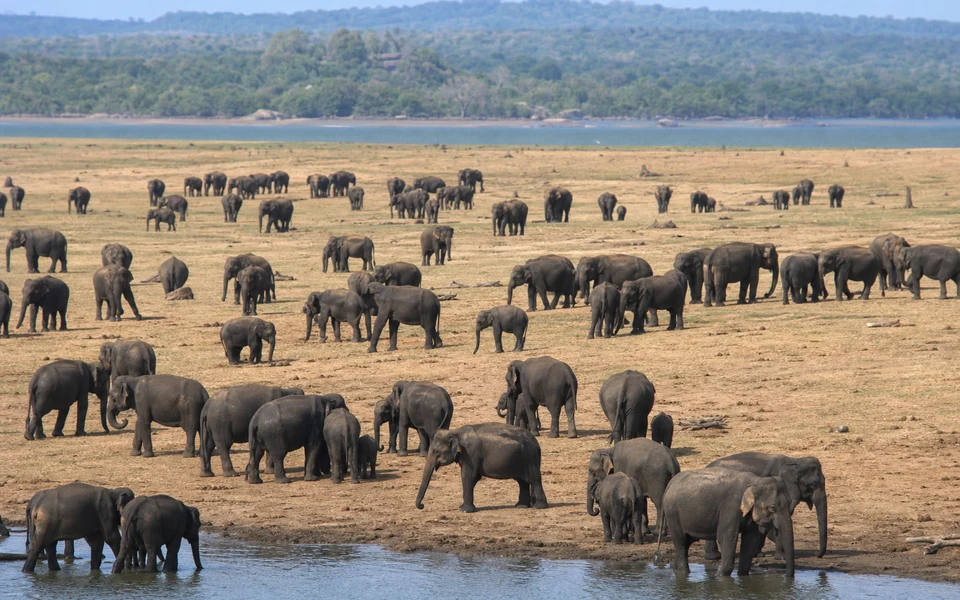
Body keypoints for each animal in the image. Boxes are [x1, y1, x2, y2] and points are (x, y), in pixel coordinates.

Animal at [415, 423, 548, 513]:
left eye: (435, 451)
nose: (422, 506)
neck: (456, 432)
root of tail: (537, 443)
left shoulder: (470, 454)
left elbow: (468, 476)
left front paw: (464, 510)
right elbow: (474, 478)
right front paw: (462, 507)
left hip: (530, 459)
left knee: (535, 480)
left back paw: (539, 507)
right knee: (522, 482)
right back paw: (521, 506)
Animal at [660, 467, 795, 578]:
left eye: (790, 503)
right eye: (773, 508)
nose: (787, 576)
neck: (755, 481)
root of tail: (670, 484)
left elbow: (750, 540)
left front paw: (742, 575)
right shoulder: (731, 507)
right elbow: (726, 537)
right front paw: (721, 576)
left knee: (686, 543)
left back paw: (676, 570)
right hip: (672, 513)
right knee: (681, 542)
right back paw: (684, 573)